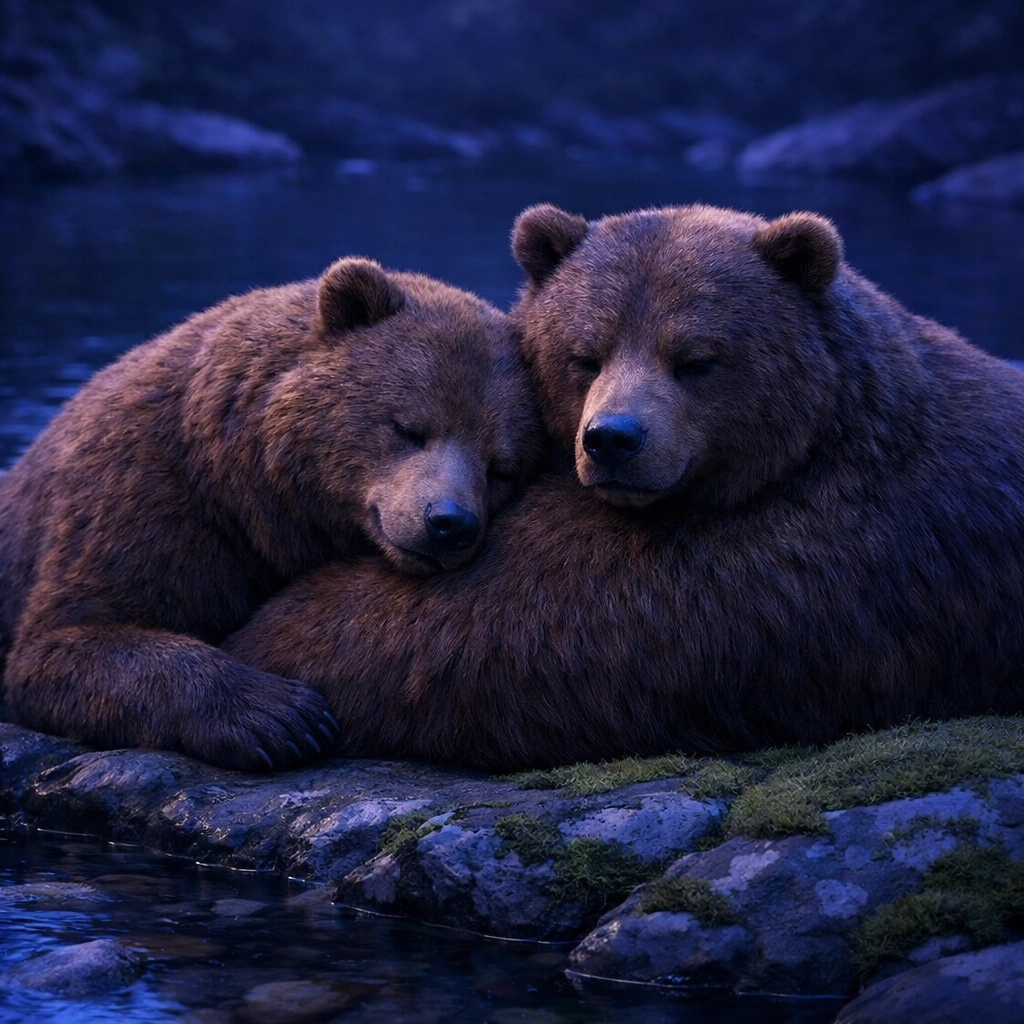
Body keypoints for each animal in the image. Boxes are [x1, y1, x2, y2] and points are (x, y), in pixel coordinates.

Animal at [0, 258, 542, 770]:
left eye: (500, 468)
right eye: (408, 427)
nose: (449, 523)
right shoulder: (139, 497)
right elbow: (62, 642)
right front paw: (283, 716)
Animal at [222, 202, 1024, 771]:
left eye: (696, 358)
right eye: (585, 352)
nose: (611, 438)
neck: (810, 441)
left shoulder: (792, 558)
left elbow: (492, 624)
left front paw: (279, 636)